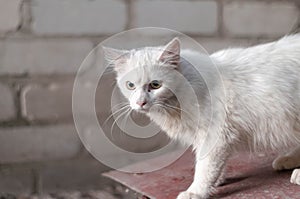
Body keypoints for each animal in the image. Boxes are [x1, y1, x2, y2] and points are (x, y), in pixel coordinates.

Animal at [103, 35, 300, 198]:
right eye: (130, 86)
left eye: (155, 85)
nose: (140, 103)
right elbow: (214, 166)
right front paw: (217, 181)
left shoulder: (215, 136)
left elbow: (205, 168)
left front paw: (196, 191)